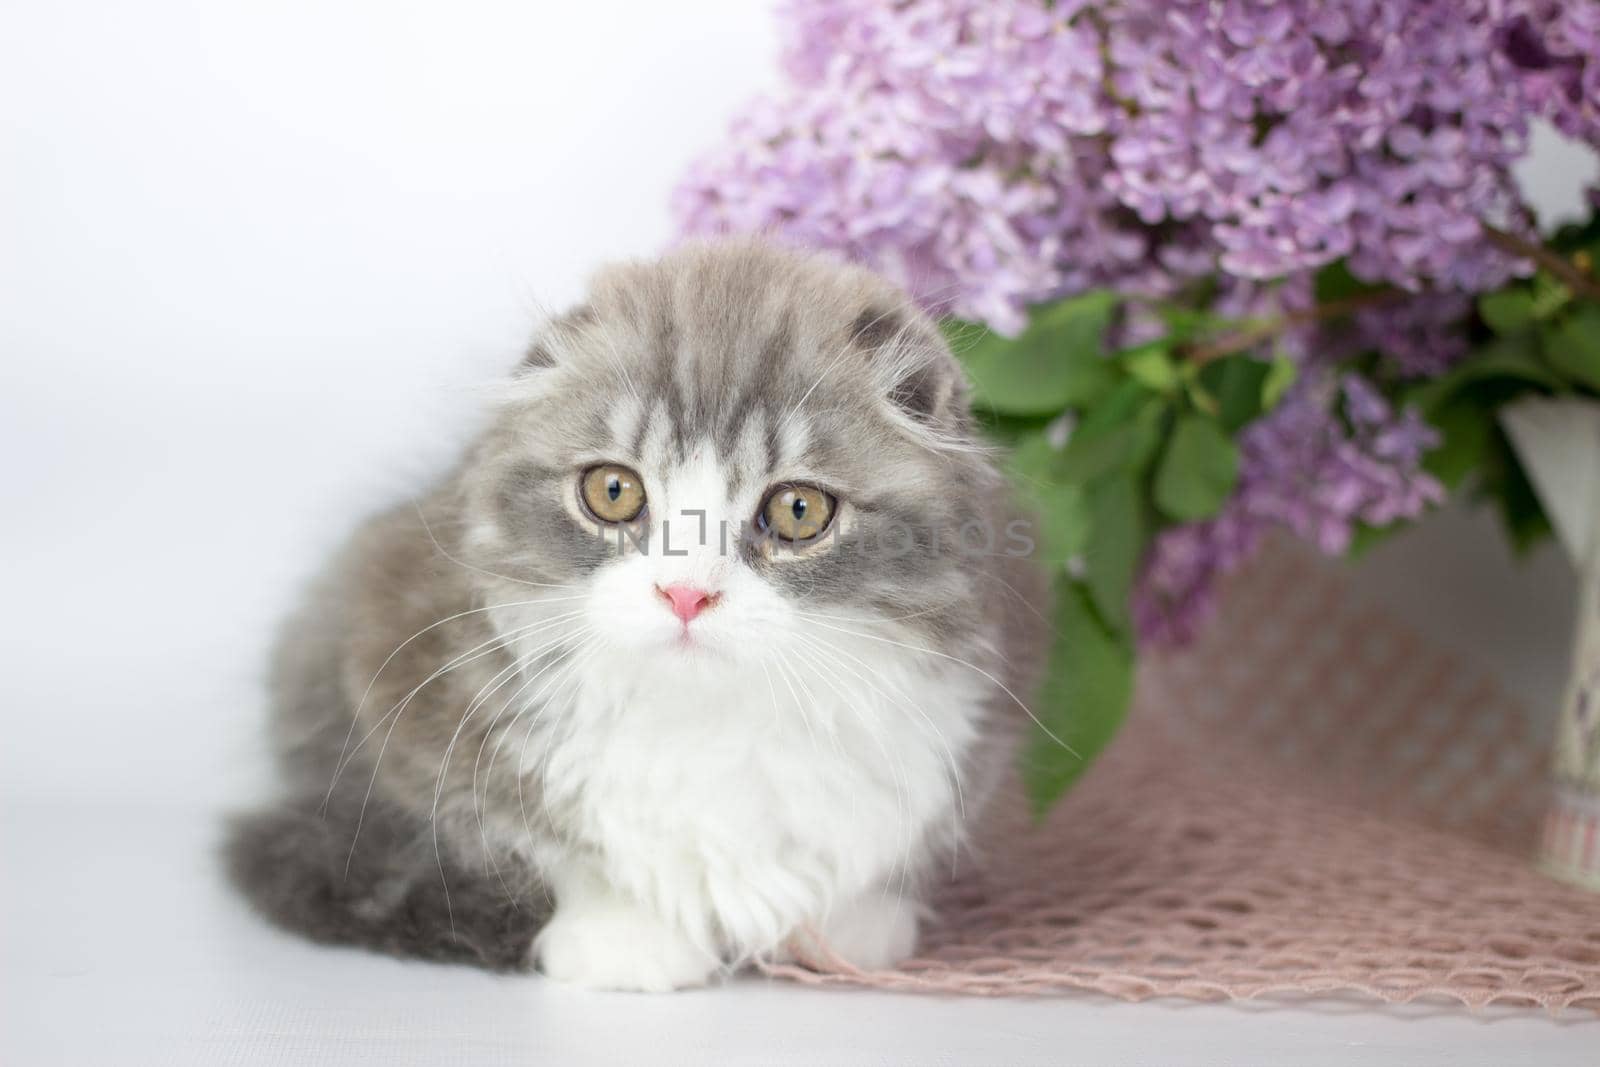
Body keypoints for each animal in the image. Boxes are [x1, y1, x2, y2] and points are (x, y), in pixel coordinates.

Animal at [225, 239, 1049, 991]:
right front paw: (623, 937)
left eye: (798, 509)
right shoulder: (408, 678)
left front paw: (852, 926)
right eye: (614, 491)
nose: (685, 593)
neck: (707, 720)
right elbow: (552, 847)